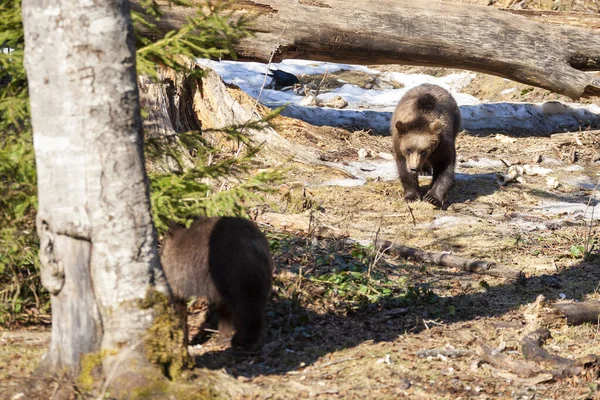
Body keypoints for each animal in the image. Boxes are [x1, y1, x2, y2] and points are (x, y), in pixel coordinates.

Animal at [158, 216, 274, 350]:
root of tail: (254, 246)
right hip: (260, 275)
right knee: (254, 305)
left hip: (234, 273)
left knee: (243, 306)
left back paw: (241, 339)